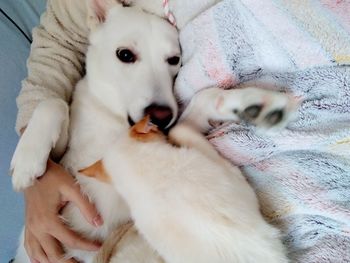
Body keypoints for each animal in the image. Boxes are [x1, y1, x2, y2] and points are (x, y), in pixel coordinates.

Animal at [10, 1, 296, 262]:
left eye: (174, 60)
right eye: (125, 54)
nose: (161, 116)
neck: (115, 120)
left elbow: (201, 101)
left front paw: (253, 104)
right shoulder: (63, 157)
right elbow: (53, 103)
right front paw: (26, 162)